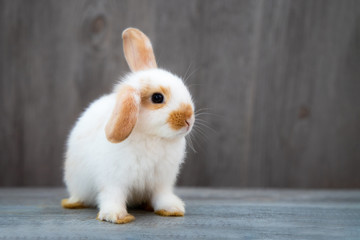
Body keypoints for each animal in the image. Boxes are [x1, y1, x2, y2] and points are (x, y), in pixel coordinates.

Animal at [62, 28, 197, 225]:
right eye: (157, 98)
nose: (189, 120)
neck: (152, 137)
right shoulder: (113, 179)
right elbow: (113, 196)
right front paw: (115, 216)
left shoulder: (161, 181)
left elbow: (162, 195)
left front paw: (172, 209)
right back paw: (72, 203)